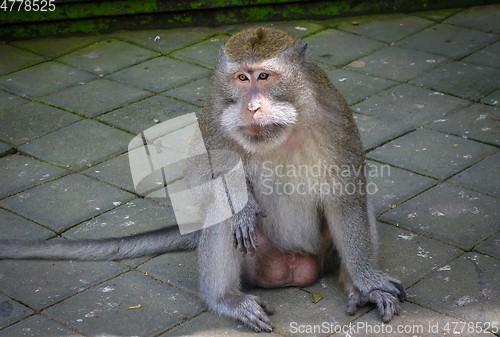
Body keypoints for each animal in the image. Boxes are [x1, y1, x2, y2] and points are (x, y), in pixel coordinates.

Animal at [0, 26, 404, 330]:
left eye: (264, 76)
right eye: (241, 78)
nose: (251, 107)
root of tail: (294, 266)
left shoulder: (336, 117)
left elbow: (346, 195)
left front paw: (366, 281)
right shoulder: (213, 116)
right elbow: (203, 180)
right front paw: (242, 205)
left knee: (359, 203)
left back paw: (354, 285)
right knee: (220, 214)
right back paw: (225, 299)